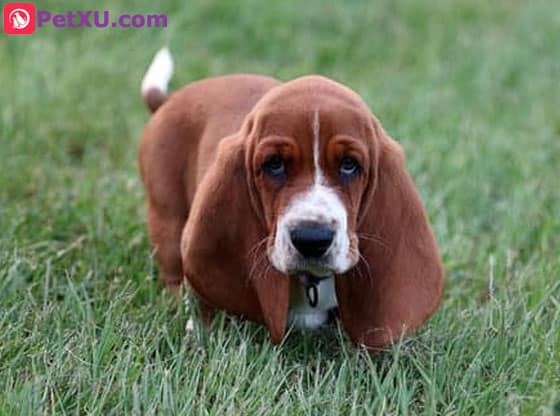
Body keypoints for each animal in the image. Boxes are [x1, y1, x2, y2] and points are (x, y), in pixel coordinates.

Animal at [138, 47, 444, 350]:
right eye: (274, 164)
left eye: (349, 165)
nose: (312, 239)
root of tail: (169, 100)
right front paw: (200, 331)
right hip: (167, 215)